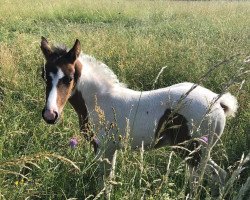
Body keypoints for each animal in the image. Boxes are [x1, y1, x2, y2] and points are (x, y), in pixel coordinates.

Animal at [40, 37, 237, 192]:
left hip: (196, 150)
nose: (50, 115)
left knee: (208, 177)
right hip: (192, 151)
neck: (99, 101)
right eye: (44, 77)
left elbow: (106, 183)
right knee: (217, 175)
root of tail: (218, 101)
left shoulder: (106, 148)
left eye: (69, 78)